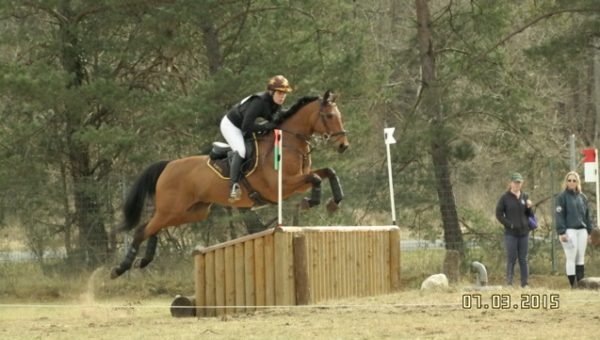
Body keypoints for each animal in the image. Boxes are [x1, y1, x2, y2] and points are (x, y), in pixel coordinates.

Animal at [110, 90, 350, 278]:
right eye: (329, 116)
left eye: (339, 116)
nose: (344, 146)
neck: (288, 143)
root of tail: (168, 165)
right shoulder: (282, 185)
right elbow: (316, 178)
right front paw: (312, 201)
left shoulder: (298, 182)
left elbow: (328, 172)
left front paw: (333, 203)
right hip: (172, 208)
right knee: (142, 229)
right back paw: (121, 268)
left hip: (193, 211)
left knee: (152, 226)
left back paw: (145, 260)